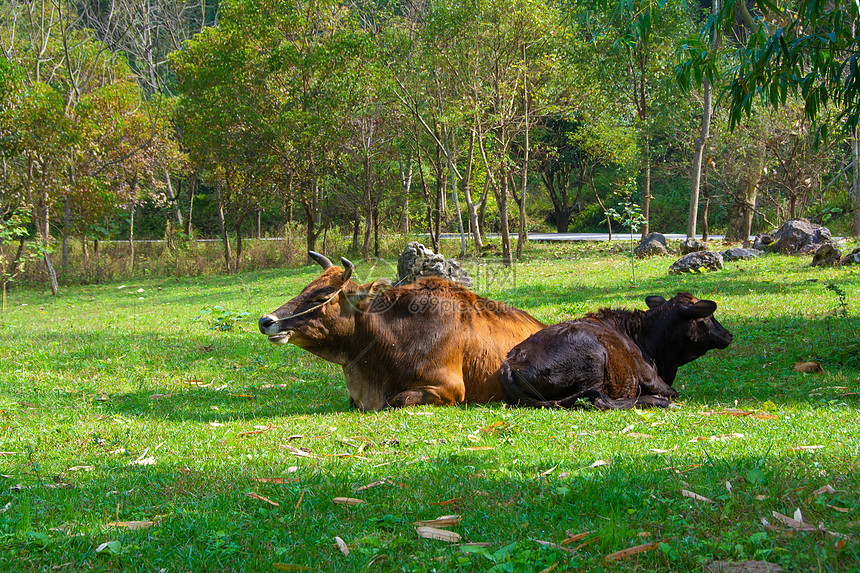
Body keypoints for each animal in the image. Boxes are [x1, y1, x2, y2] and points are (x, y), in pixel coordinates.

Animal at [498, 292, 732, 408]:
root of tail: (510, 362)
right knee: (598, 400)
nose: (729, 334)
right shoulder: (651, 379)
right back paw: (656, 401)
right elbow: (673, 392)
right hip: (594, 360)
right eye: (708, 317)